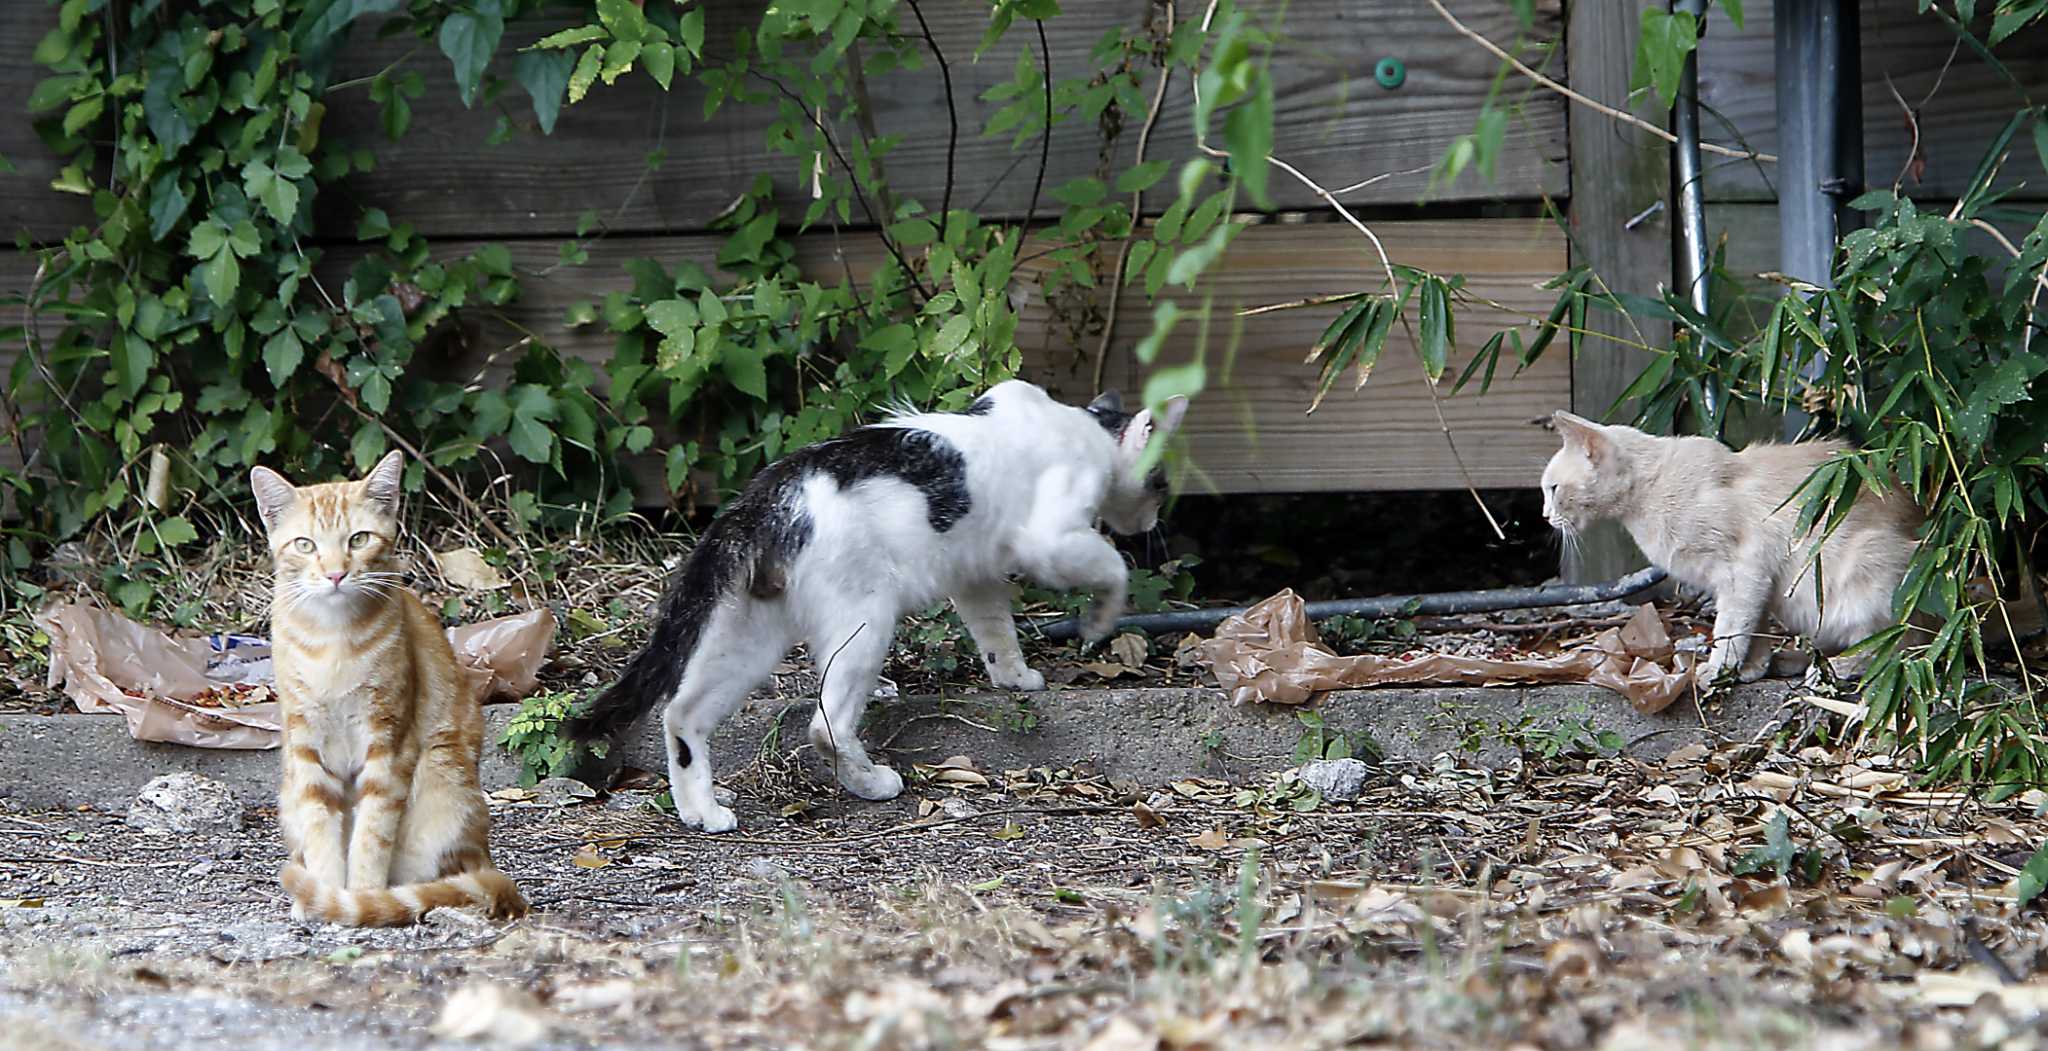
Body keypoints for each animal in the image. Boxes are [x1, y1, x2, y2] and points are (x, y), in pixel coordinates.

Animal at [252, 446, 528, 921]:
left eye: (358, 540)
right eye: (305, 545)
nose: (335, 574)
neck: (333, 642)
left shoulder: (389, 742)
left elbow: (372, 833)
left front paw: (359, 896)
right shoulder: (306, 744)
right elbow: (321, 830)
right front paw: (325, 892)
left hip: (443, 773)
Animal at [569, 376, 1196, 827]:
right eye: (1162, 481)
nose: (1157, 520)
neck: (1084, 426)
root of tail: (764, 496)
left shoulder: (975, 571)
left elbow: (996, 629)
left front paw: (1014, 677)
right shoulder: (1050, 537)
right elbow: (1110, 566)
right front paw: (1100, 618)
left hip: (749, 635)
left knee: (682, 713)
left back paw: (701, 812)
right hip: (866, 620)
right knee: (825, 725)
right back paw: (871, 784)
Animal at [1540, 409, 1925, 688]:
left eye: (1553, 489)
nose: (1544, 515)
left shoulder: (1743, 570)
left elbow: (1730, 629)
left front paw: (1719, 670)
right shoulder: (1754, 586)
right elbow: (1753, 628)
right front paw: (1752, 668)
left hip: (1861, 577)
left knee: (1894, 648)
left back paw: (1832, 668)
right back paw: (1796, 661)